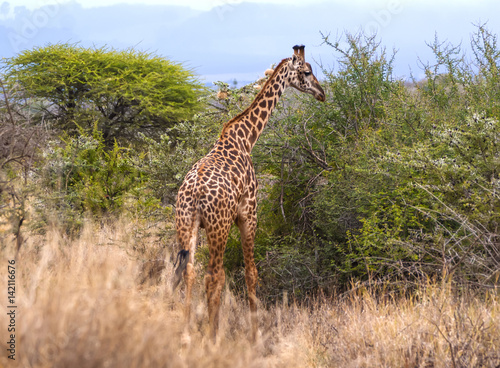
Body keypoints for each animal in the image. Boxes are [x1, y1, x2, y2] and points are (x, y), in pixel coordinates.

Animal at [174, 44, 326, 340]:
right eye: (306, 71)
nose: (322, 93)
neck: (246, 138)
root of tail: (194, 194)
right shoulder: (248, 213)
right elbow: (251, 273)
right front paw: (255, 335)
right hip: (218, 227)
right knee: (214, 275)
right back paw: (212, 336)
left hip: (186, 225)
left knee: (190, 271)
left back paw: (186, 333)